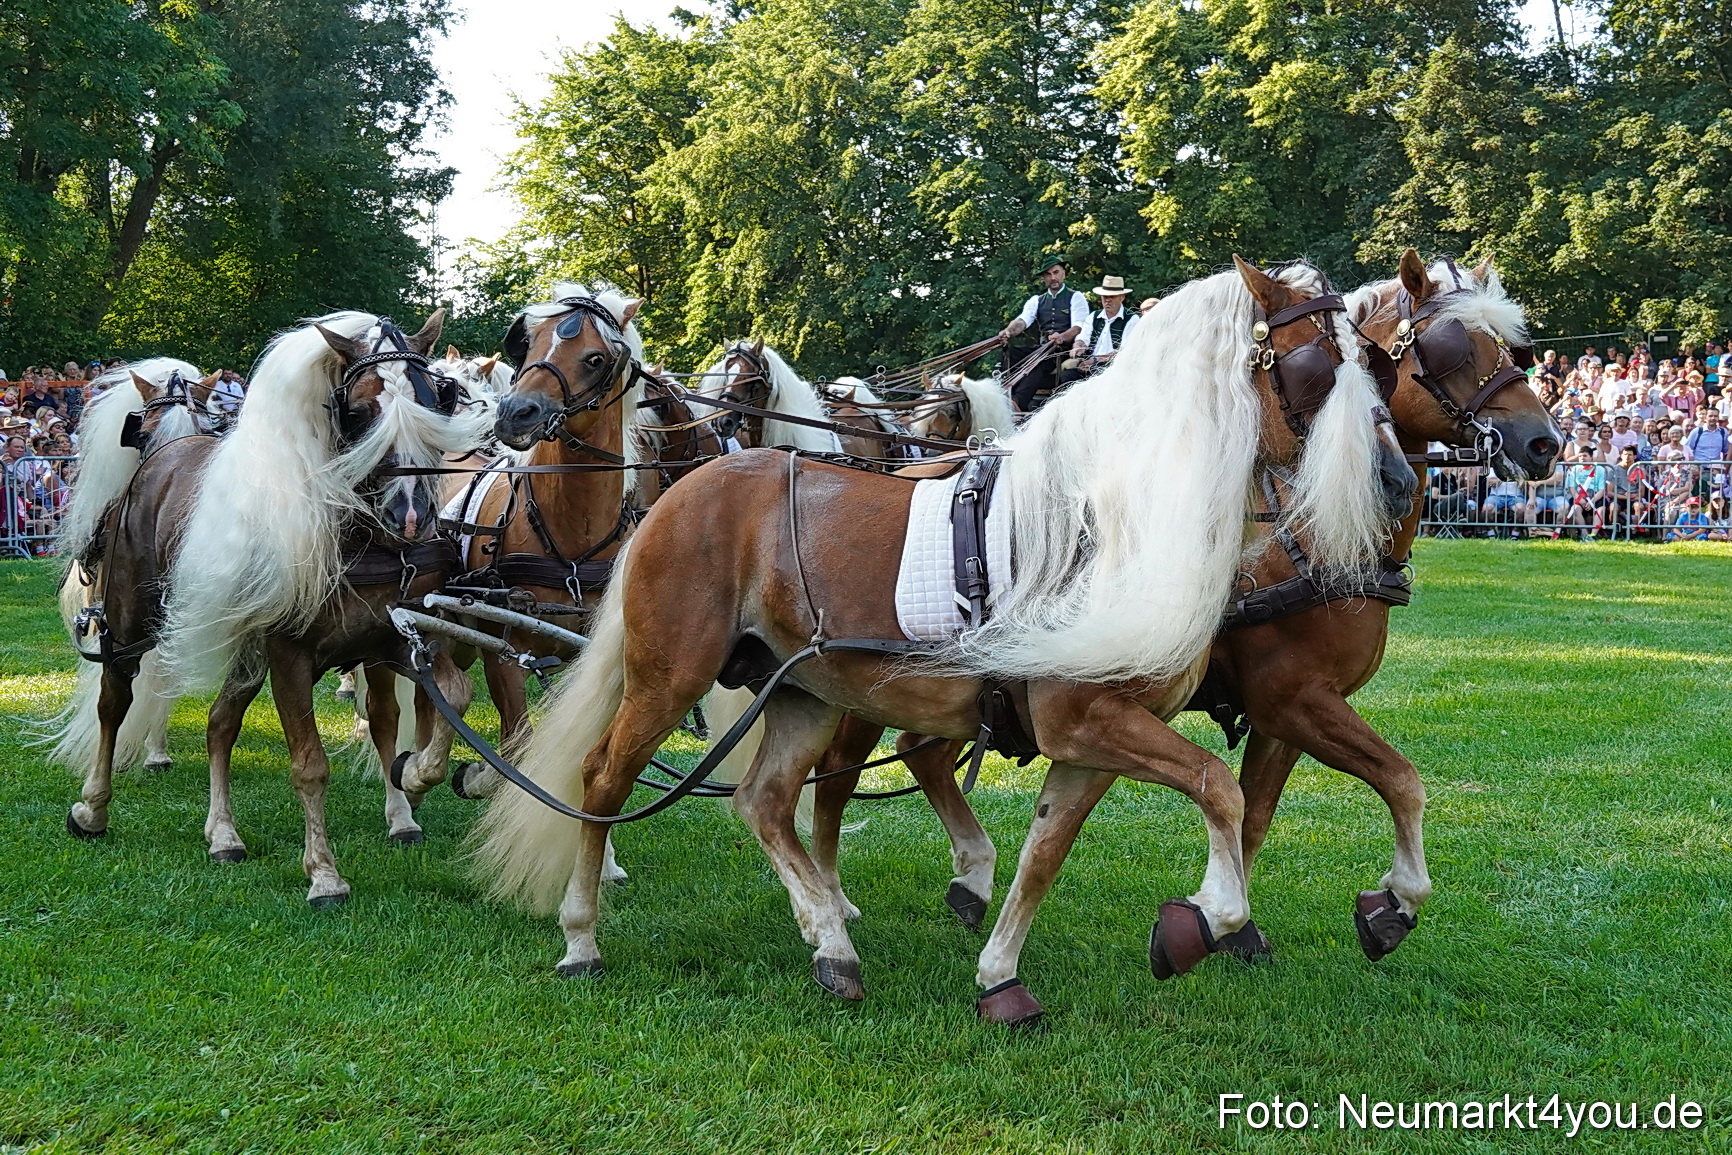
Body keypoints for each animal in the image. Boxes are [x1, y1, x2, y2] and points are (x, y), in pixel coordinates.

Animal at [51, 310, 492, 905]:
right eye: (359, 411)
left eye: (433, 400)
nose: (411, 513)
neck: (362, 540)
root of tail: (161, 461)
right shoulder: (289, 657)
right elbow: (309, 765)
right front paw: (324, 873)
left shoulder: (393, 643)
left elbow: (452, 695)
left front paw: (416, 775)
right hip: (128, 627)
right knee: (114, 702)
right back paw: (93, 808)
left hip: (245, 654)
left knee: (219, 724)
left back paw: (223, 835)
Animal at [469, 258, 1415, 1017]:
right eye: (1316, 364)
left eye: (1376, 364)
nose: (1400, 483)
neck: (1106, 522)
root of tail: (677, 491)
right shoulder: (1094, 719)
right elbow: (1222, 789)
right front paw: (1208, 918)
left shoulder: (1090, 740)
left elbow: (1045, 854)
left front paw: (1001, 973)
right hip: (670, 677)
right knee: (604, 777)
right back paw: (582, 936)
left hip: (804, 692)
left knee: (767, 800)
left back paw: (833, 944)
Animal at [799, 250, 1561, 969]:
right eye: (1451, 346)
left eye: (1511, 346)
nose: (1544, 442)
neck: (1309, 532)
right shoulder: (1294, 698)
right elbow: (1399, 781)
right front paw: (1381, 902)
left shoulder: (1284, 715)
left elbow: (1263, 813)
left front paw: (1232, 922)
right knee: (842, 774)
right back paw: (835, 899)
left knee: (917, 755)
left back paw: (960, 882)